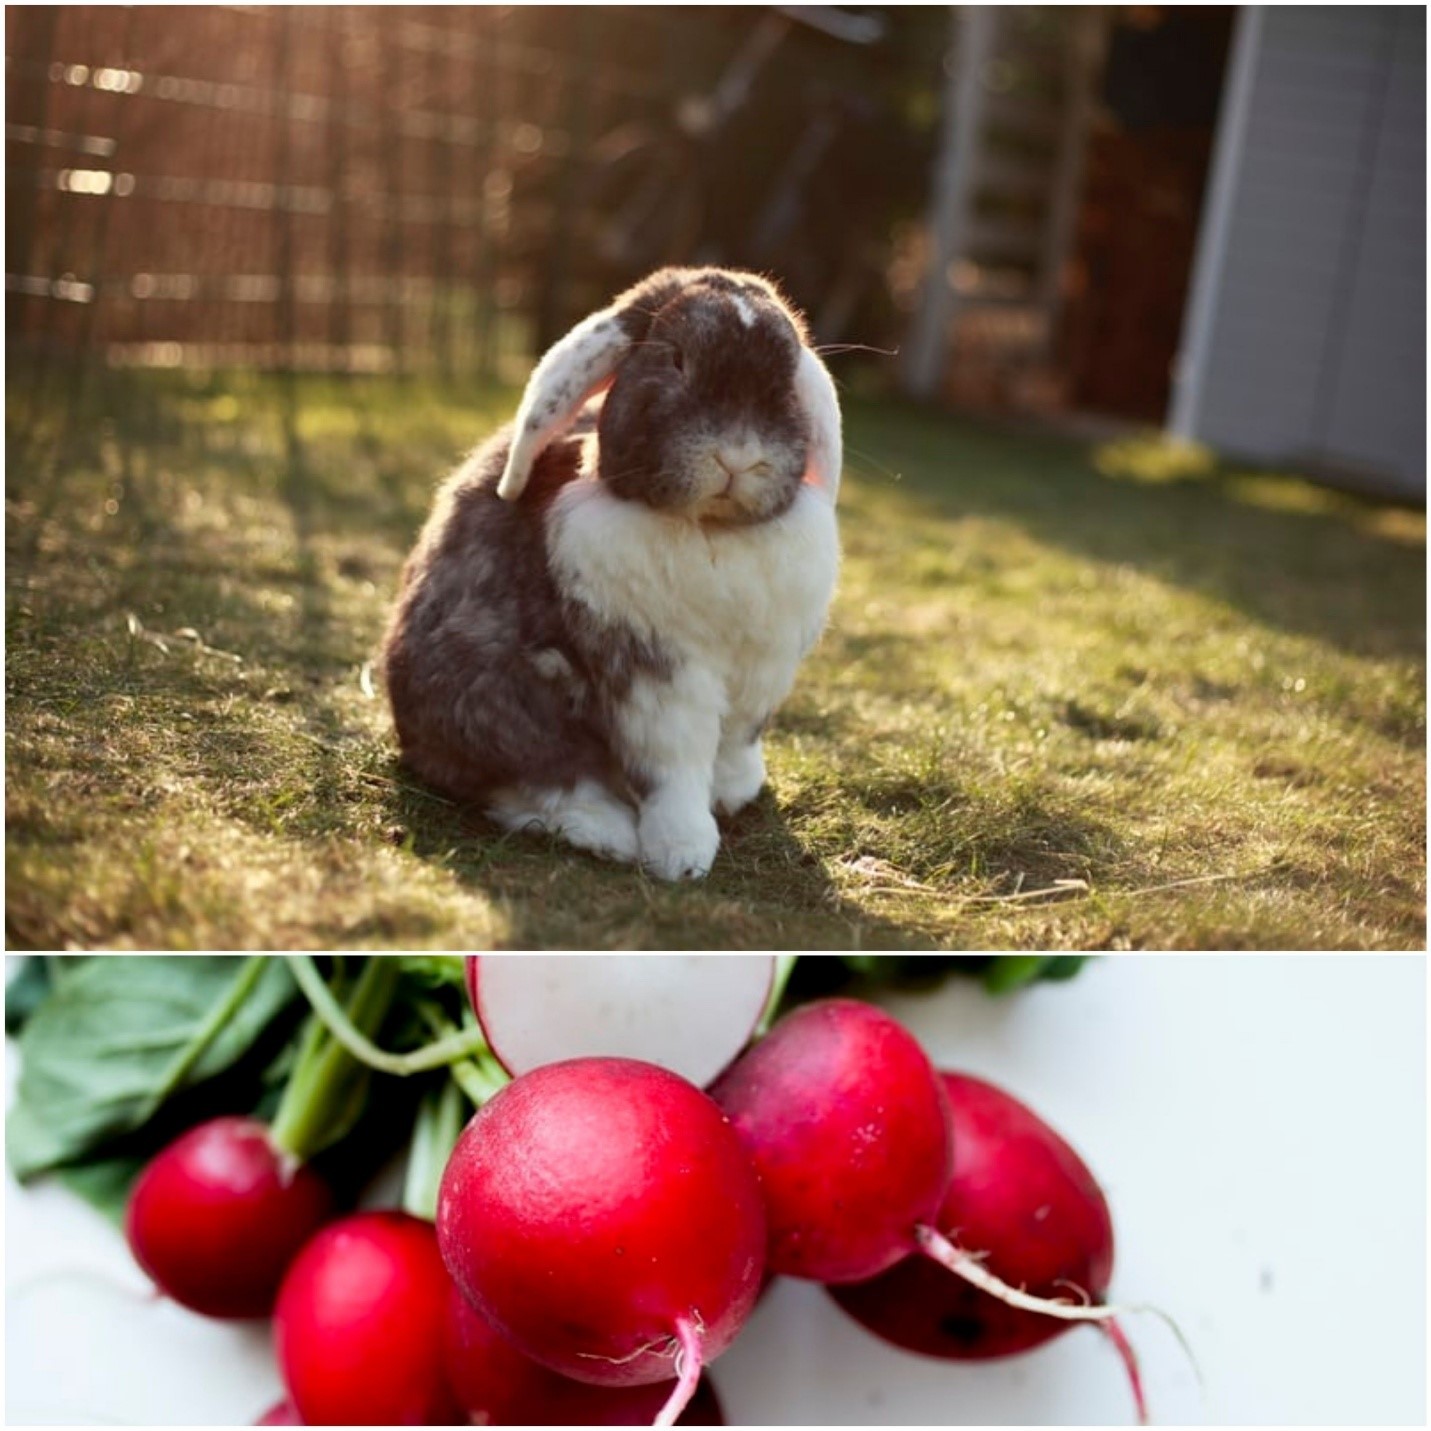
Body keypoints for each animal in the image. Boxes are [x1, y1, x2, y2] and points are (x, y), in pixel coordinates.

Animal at [381, 266, 842, 881]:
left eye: (788, 376)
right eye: (675, 358)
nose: (739, 456)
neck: (712, 531)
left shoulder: (759, 671)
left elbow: (735, 743)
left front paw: (734, 793)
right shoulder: (652, 670)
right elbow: (673, 766)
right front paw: (683, 854)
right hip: (494, 699)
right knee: (535, 783)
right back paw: (610, 833)